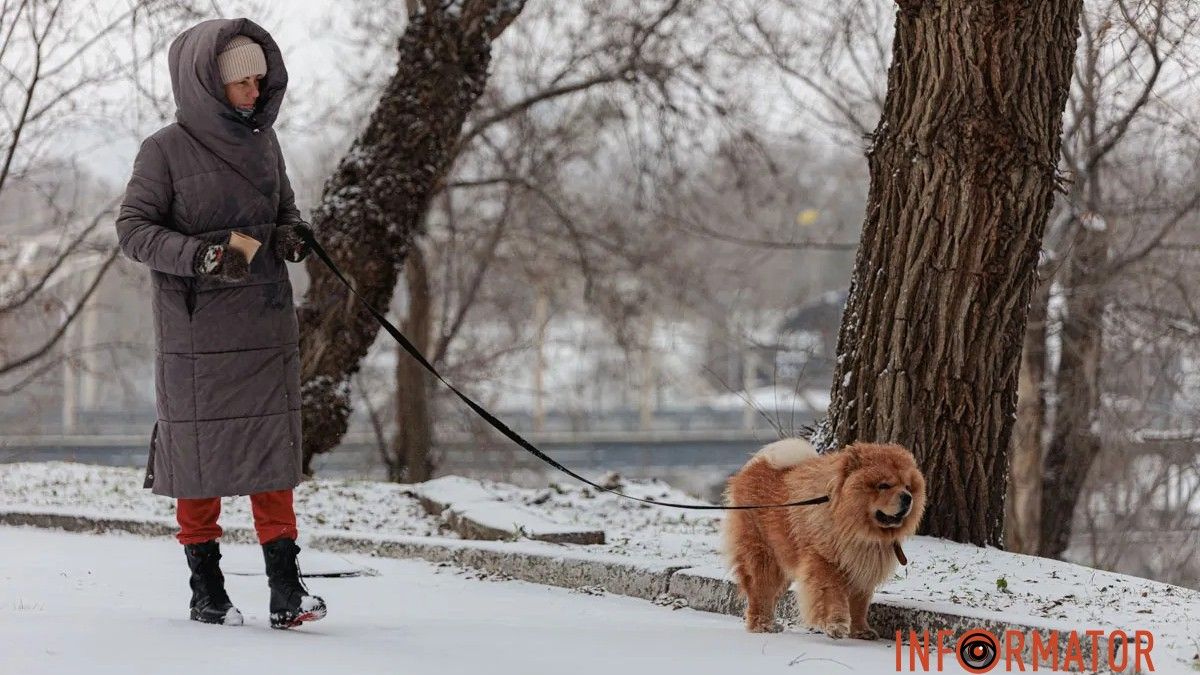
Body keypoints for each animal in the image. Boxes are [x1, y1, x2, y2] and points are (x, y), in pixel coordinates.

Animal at [720, 437, 926, 634]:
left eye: (908, 486)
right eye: (884, 485)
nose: (907, 497)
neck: (858, 532)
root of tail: (754, 467)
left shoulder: (862, 570)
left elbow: (860, 604)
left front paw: (861, 630)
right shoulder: (825, 562)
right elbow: (832, 595)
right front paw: (836, 625)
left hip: (784, 563)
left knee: (772, 594)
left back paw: (771, 623)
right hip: (763, 557)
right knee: (760, 592)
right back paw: (762, 626)